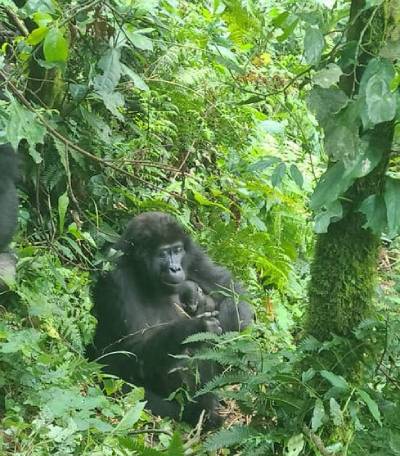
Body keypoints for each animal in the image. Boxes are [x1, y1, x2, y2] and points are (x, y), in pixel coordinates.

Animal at [91, 212, 253, 430]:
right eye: (162, 254)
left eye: (177, 250)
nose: (175, 268)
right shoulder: (116, 276)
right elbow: (132, 349)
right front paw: (194, 328)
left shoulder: (194, 254)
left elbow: (231, 291)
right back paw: (205, 410)